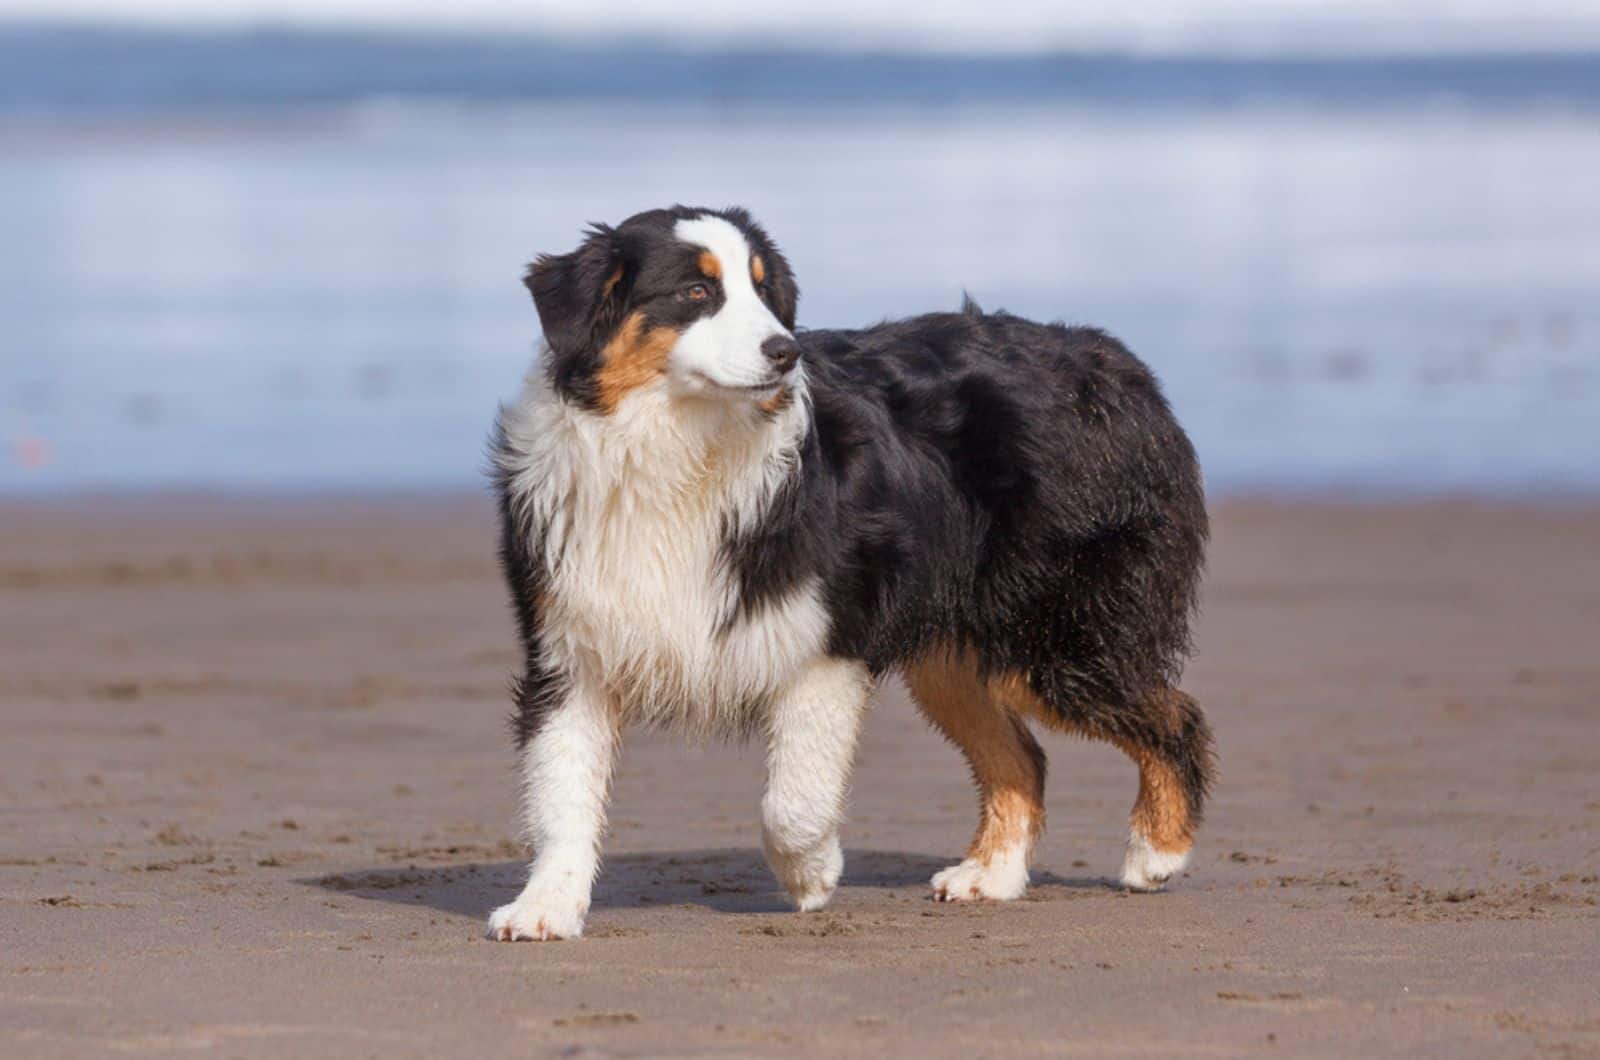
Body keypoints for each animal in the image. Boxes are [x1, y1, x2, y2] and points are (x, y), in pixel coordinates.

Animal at [486, 208, 1209, 947]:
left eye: (764, 292)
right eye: (696, 292)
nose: (785, 352)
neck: (678, 450)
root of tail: (1116, 361)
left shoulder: (825, 640)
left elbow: (793, 800)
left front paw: (812, 876)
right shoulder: (570, 648)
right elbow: (562, 793)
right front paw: (546, 906)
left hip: (1056, 634)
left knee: (1178, 716)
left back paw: (1155, 853)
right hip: (960, 651)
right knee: (1023, 756)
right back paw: (992, 874)